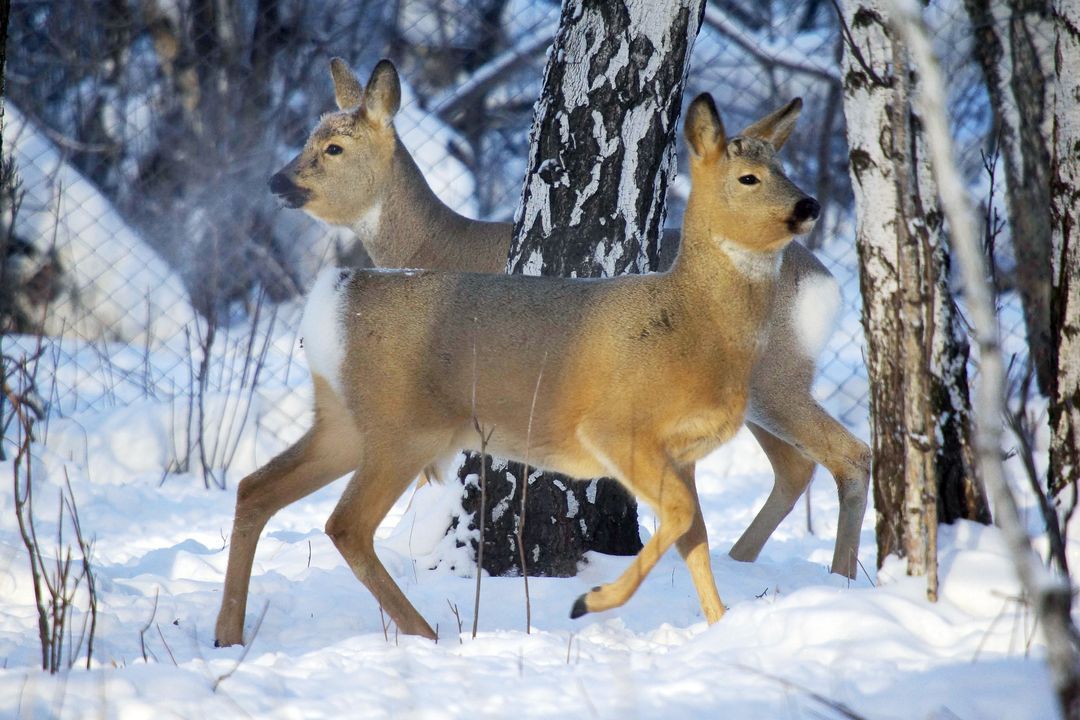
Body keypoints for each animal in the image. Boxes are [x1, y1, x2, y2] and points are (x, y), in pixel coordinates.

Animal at [214, 91, 864, 647]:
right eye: (748, 177)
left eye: (783, 169)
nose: (808, 204)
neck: (690, 317)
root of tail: (334, 296)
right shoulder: (617, 429)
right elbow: (683, 522)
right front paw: (591, 602)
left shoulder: (678, 453)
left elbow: (693, 536)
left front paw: (720, 627)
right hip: (404, 428)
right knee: (342, 522)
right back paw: (425, 633)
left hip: (349, 423)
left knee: (258, 488)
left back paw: (230, 634)